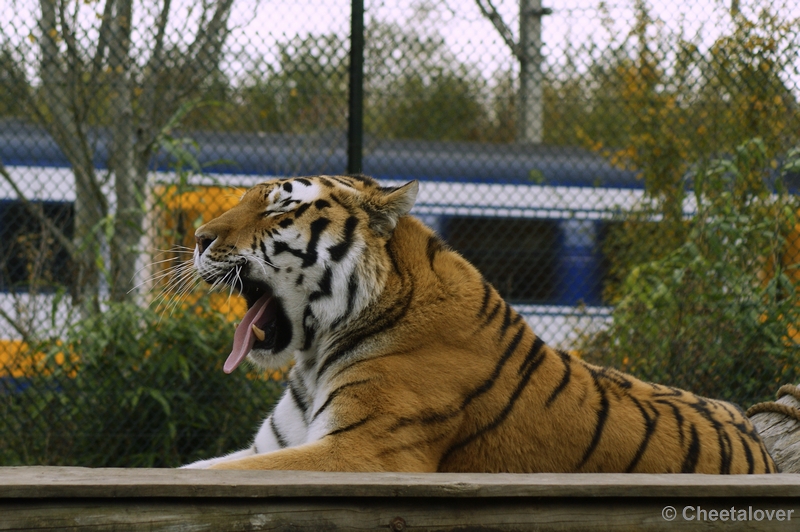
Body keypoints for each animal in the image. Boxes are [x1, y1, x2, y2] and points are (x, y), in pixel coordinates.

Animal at [181, 175, 776, 474]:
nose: (198, 237)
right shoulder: (274, 447)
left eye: (279, 210)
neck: (314, 353)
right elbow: (193, 469)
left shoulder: (361, 450)